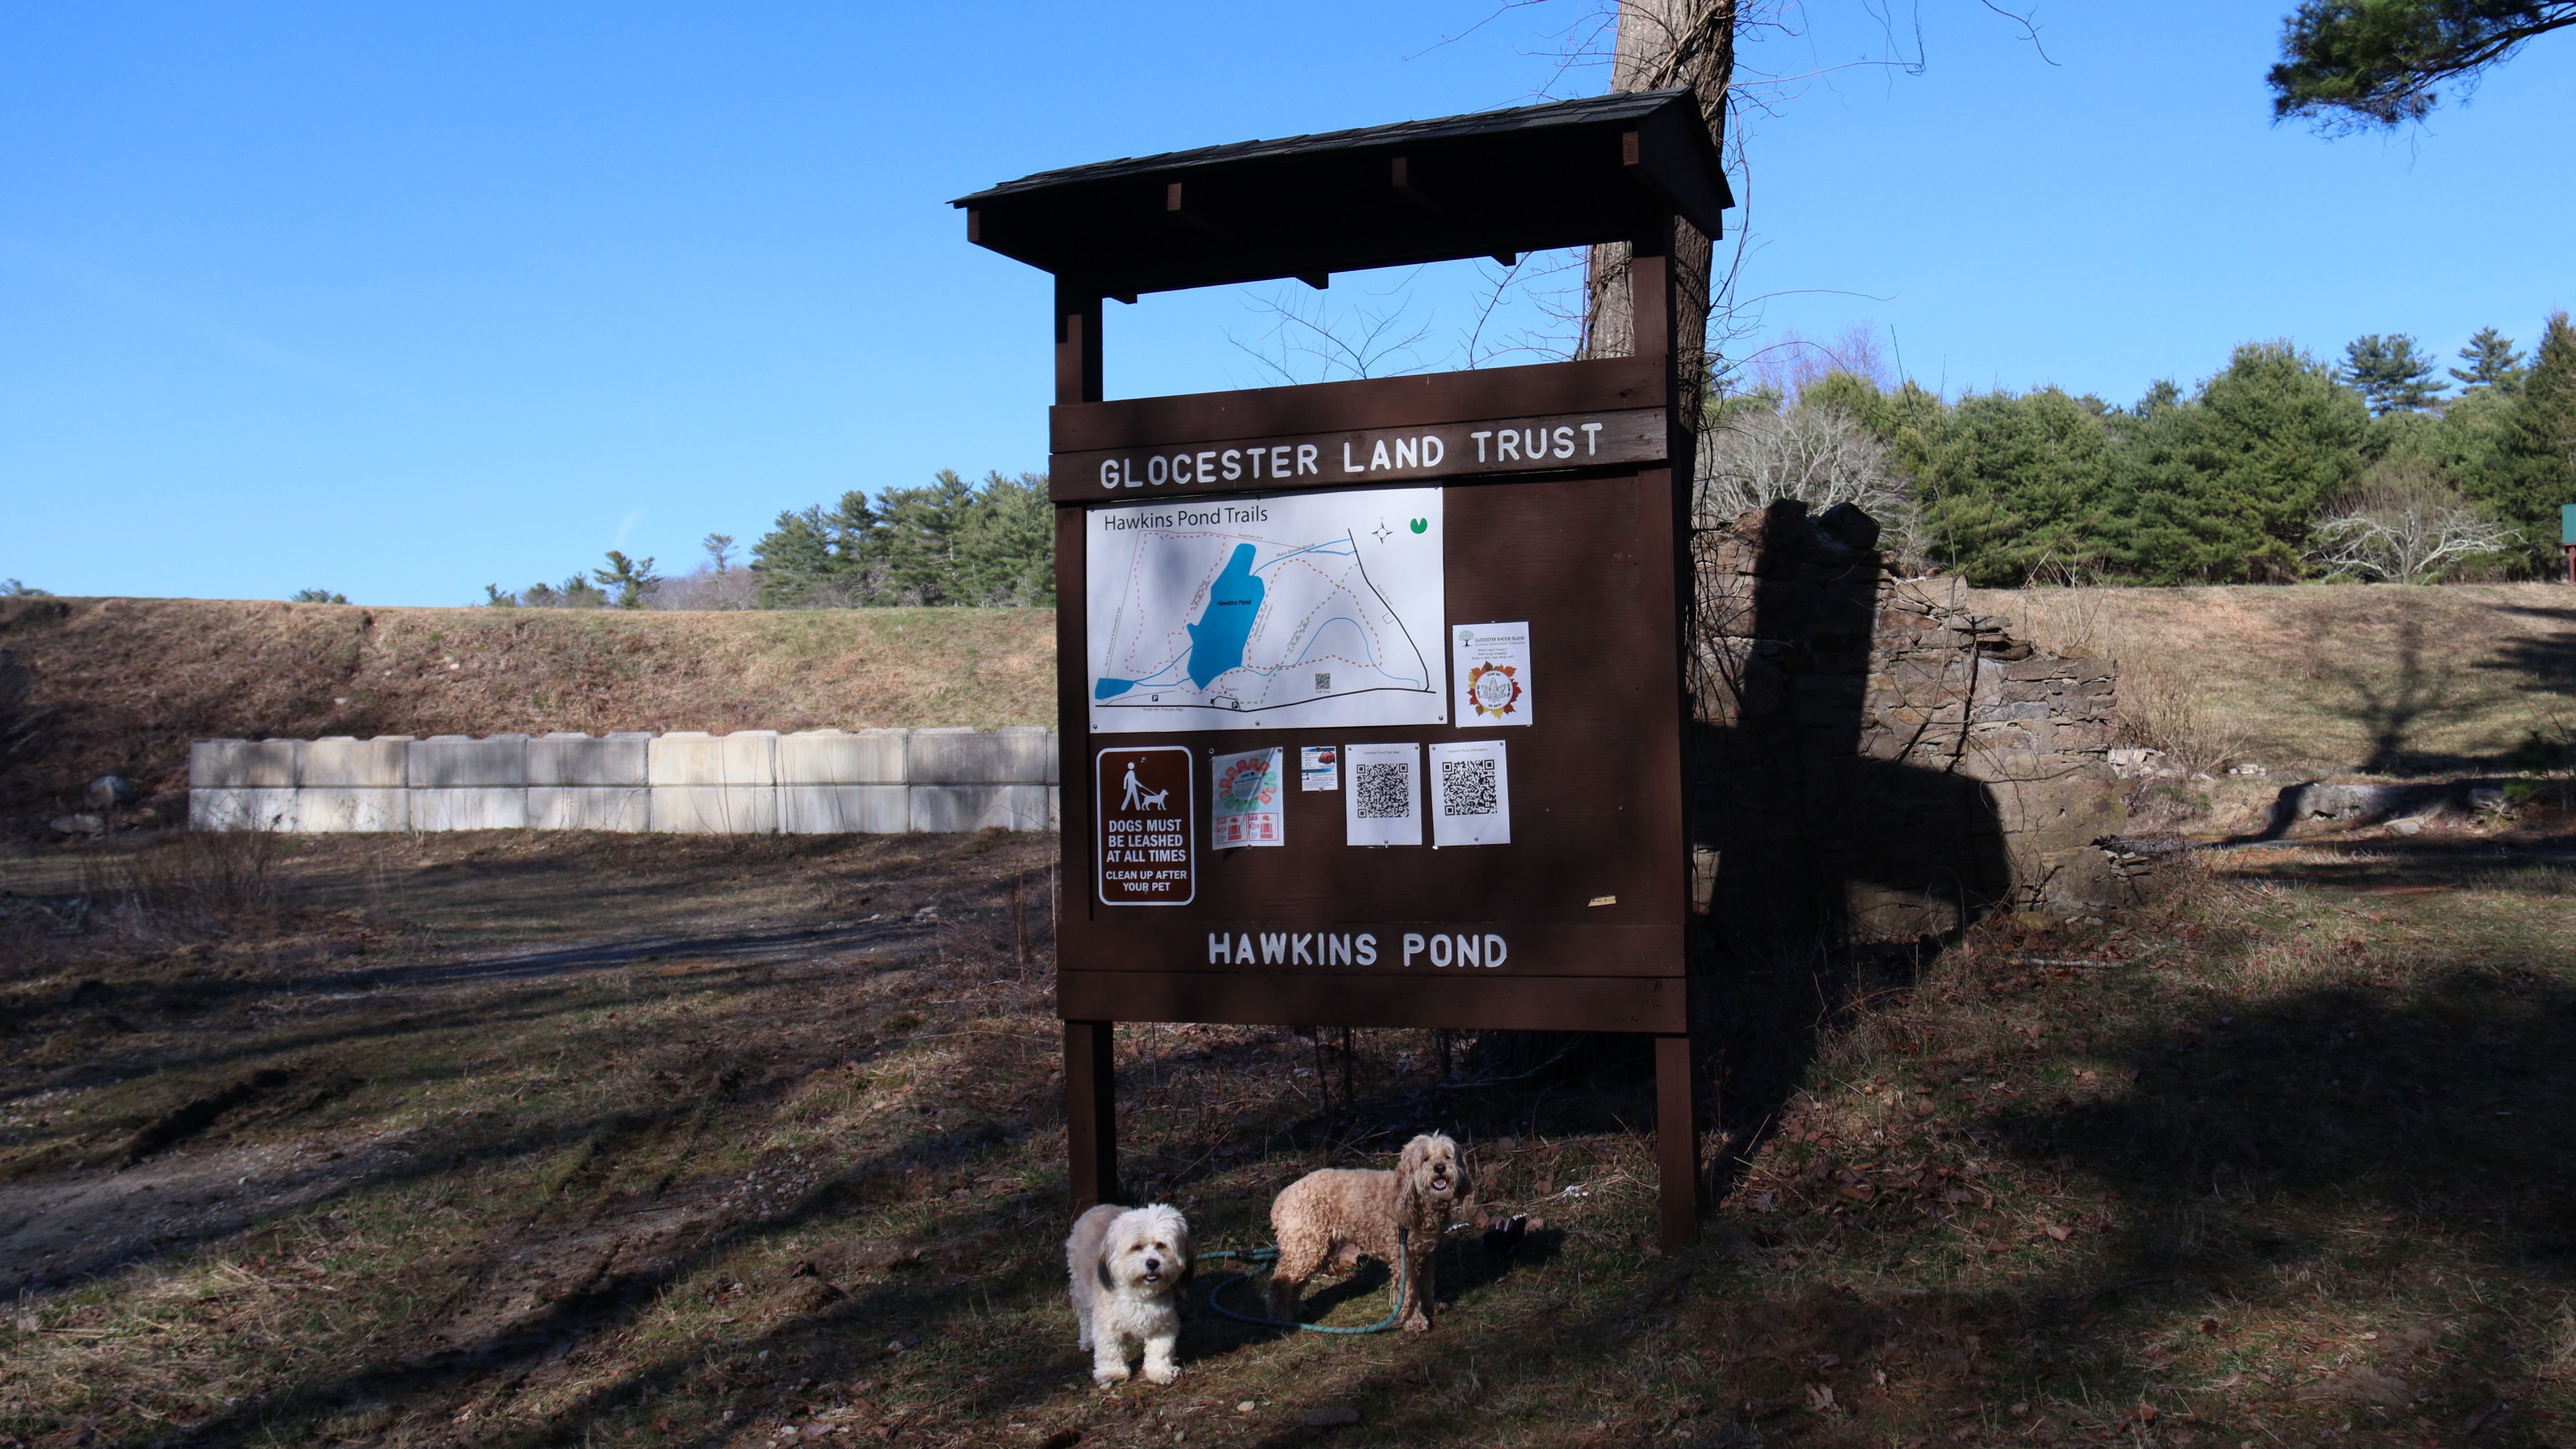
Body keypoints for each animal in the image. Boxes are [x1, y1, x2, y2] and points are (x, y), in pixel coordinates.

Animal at [1065, 1202, 1191, 1386]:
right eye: (1137, 1248)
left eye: (1162, 1245)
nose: (1152, 1263)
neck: (1139, 1294)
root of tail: (1099, 1207)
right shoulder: (1107, 1324)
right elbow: (1110, 1349)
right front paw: (1112, 1372)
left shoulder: (1163, 1324)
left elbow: (1160, 1350)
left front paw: (1160, 1371)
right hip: (1081, 1290)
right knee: (1085, 1318)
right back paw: (1087, 1341)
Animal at [1266, 1133, 1467, 1332]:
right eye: (1425, 1159)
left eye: (1447, 1157)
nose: (1440, 1168)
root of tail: (1282, 1198)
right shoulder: (1404, 1259)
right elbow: (1410, 1292)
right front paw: (1415, 1321)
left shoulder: (1426, 1256)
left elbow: (1426, 1286)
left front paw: (1432, 1308)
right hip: (1307, 1249)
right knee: (1281, 1280)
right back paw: (1282, 1317)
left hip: (1314, 1248)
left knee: (1295, 1282)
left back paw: (1296, 1310)